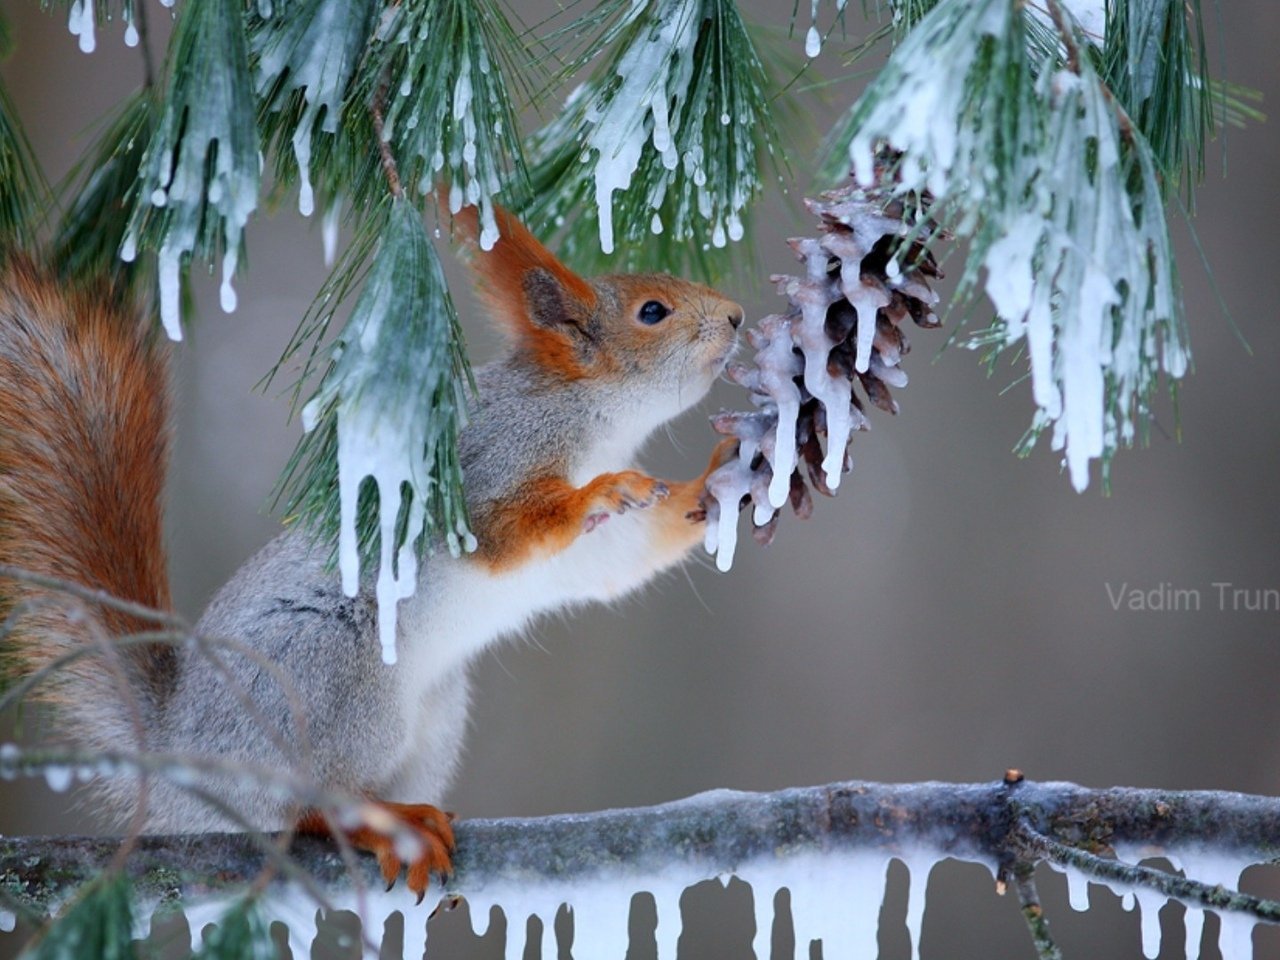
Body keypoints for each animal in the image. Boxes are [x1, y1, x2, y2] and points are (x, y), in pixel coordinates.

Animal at [0, 204, 742, 901]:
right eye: (653, 311)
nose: (737, 316)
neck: (592, 416)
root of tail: (180, 752)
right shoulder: (489, 462)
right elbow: (503, 530)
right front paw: (602, 490)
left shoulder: (597, 551)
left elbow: (627, 556)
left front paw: (721, 477)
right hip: (332, 686)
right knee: (303, 808)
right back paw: (376, 824)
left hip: (434, 717)